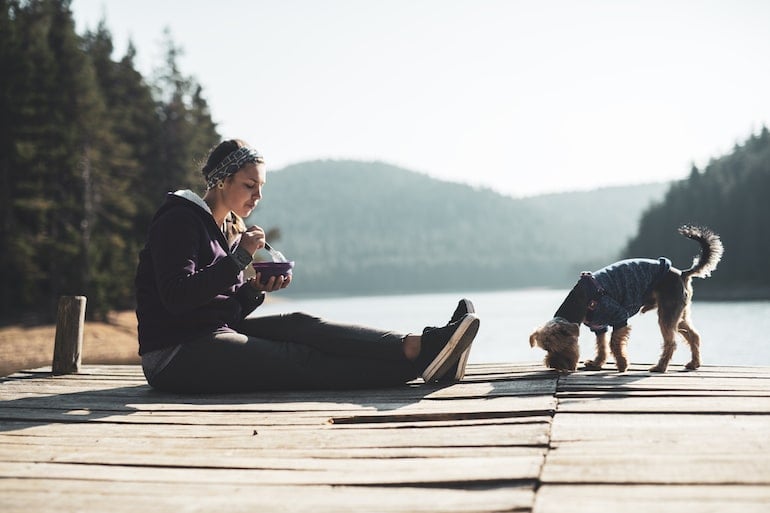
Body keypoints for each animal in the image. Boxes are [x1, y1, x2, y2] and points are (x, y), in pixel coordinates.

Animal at [528, 224, 720, 372]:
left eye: (558, 347)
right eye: (546, 349)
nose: (554, 365)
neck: (580, 301)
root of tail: (682, 273)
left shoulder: (619, 317)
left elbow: (614, 343)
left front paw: (622, 364)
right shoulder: (599, 326)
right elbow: (602, 346)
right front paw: (597, 363)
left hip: (667, 313)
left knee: (671, 342)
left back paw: (660, 367)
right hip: (678, 314)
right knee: (693, 336)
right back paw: (694, 363)